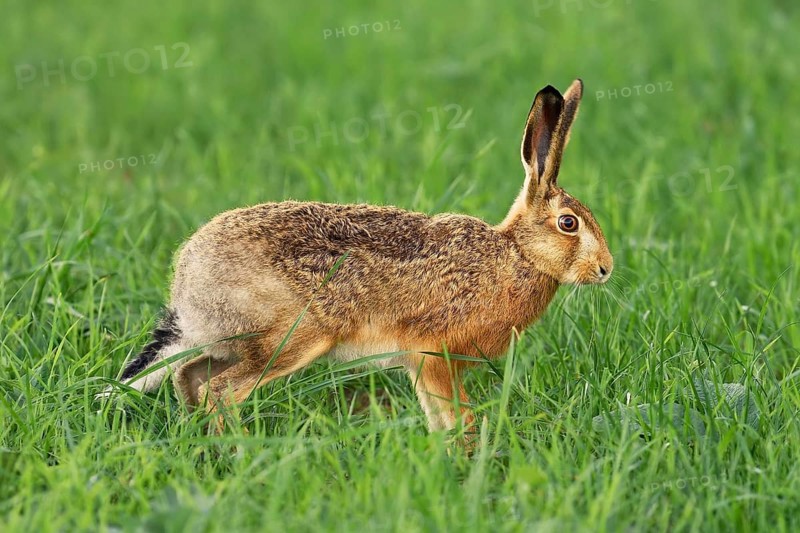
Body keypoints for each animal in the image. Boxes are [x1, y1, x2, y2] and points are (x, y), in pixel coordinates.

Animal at [107, 79, 613, 436]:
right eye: (569, 223)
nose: (606, 269)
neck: (518, 254)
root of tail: (187, 286)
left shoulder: (420, 364)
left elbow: (438, 419)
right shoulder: (434, 354)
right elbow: (457, 419)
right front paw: (466, 458)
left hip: (232, 342)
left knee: (189, 376)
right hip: (294, 337)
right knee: (221, 391)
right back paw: (236, 450)